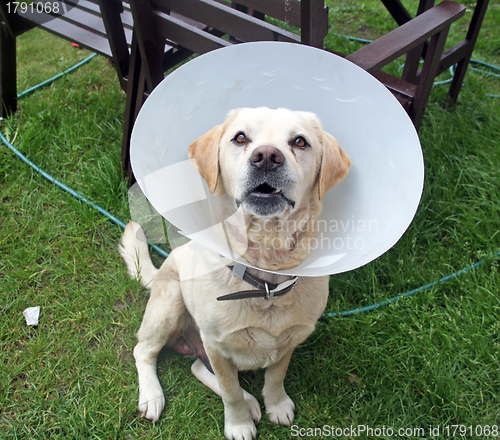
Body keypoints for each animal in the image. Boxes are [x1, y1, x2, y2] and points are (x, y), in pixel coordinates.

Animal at [119, 107, 350, 440]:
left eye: (300, 141)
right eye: (240, 138)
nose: (266, 157)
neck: (264, 282)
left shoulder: (289, 341)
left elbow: (276, 377)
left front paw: (276, 405)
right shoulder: (216, 346)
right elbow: (229, 391)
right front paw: (239, 424)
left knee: (196, 367)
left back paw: (252, 400)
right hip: (170, 304)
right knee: (144, 351)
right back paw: (152, 397)